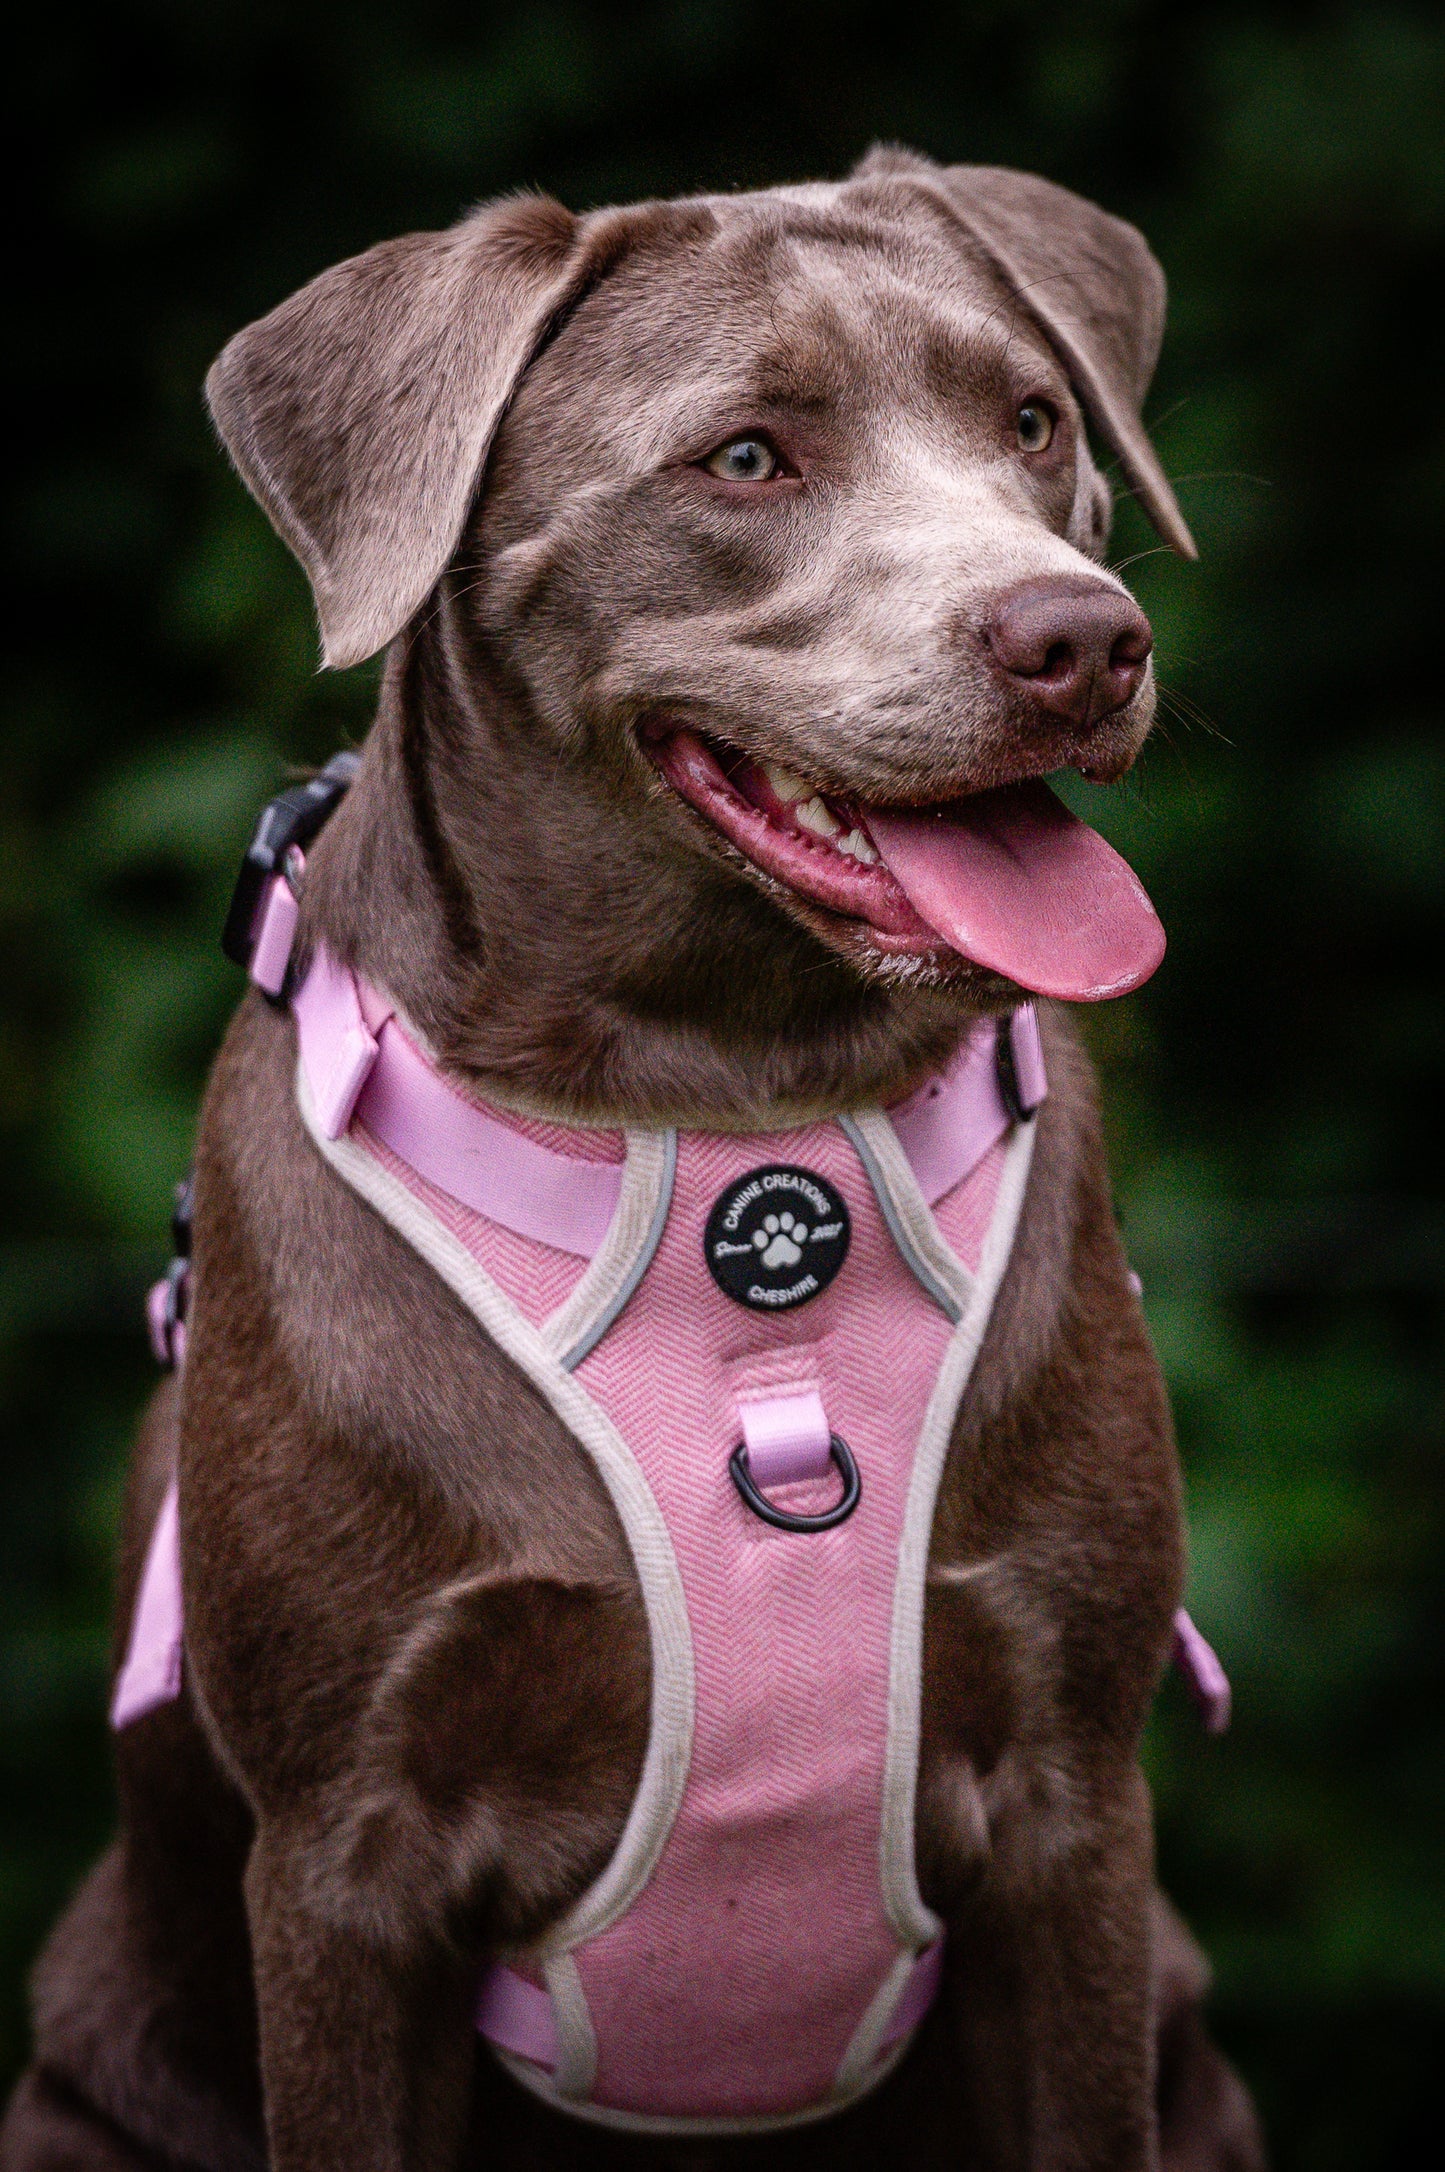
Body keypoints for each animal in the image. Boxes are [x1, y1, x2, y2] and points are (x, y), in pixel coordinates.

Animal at [0, 144, 1260, 2163]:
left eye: (1034, 419)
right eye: (744, 457)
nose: (1081, 637)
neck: (729, 1116)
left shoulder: (1076, 1803)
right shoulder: (343, 1860)